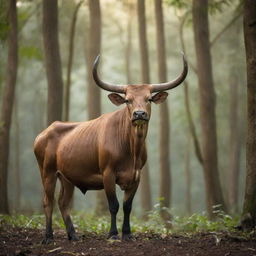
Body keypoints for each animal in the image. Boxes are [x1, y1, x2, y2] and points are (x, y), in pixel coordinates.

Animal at [34, 53, 188, 242]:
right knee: (47, 201)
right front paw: (113, 233)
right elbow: (114, 205)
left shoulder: (136, 177)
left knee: (63, 203)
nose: (139, 114)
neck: (131, 149)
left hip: (67, 177)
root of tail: (43, 133)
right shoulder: (108, 173)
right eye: (128, 100)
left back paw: (73, 235)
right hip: (47, 172)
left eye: (149, 99)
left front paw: (127, 233)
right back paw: (48, 236)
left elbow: (127, 206)